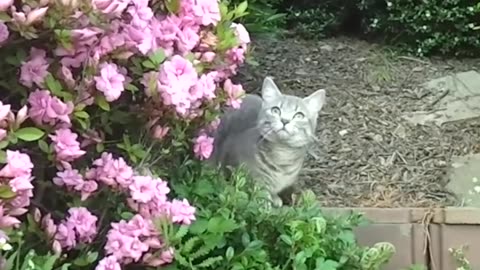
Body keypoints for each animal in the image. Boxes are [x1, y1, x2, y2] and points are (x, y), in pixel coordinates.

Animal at [210, 76, 326, 207]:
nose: (285, 120)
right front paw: (264, 202)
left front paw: (274, 197)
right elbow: (259, 190)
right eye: (276, 110)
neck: (282, 156)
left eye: (299, 115)